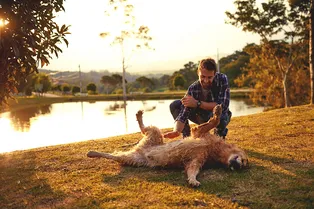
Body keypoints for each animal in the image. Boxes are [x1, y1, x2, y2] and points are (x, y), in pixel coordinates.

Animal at [86, 105, 248, 187]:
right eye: (245, 161)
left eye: (244, 165)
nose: (238, 167)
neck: (214, 151)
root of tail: (141, 150)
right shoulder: (199, 132)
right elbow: (214, 121)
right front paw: (217, 111)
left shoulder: (195, 161)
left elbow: (192, 170)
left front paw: (193, 180)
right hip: (155, 135)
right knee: (146, 129)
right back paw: (139, 115)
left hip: (133, 158)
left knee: (115, 155)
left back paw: (94, 153)